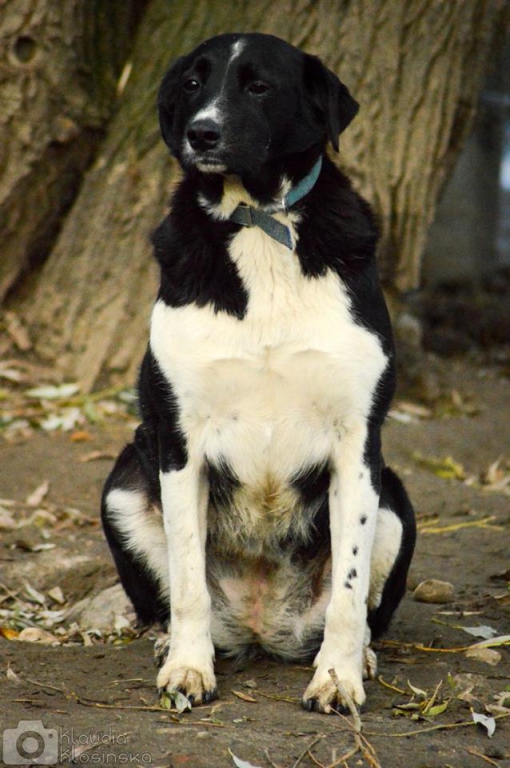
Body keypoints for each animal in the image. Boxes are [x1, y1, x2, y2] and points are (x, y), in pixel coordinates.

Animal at [101, 32, 416, 714]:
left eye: (259, 86)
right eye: (192, 83)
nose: (201, 132)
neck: (257, 222)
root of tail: (260, 624)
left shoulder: (358, 444)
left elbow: (350, 591)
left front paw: (337, 678)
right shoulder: (179, 442)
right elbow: (188, 580)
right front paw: (188, 668)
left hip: (397, 503)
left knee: (361, 609)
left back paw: (358, 656)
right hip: (122, 484)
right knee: (172, 595)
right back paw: (174, 644)